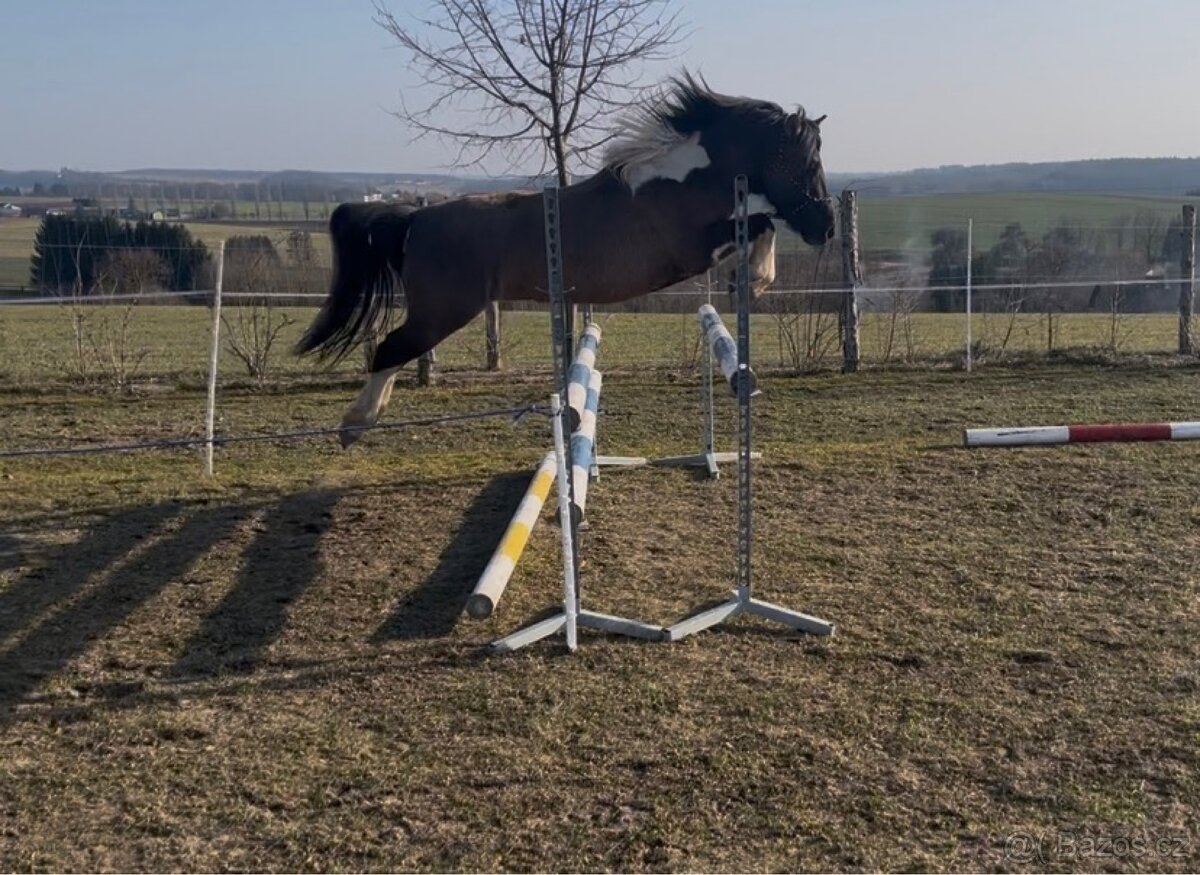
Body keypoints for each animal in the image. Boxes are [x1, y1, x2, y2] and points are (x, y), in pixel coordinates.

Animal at [295, 72, 837, 448]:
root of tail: (414, 219)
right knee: (390, 349)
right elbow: (762, 222)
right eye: (808, 162)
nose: (826, 228)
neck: (680, 181)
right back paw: (354, 425)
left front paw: (747, 281)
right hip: (443, 312)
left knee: (393, 352)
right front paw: (753, 280)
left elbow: (761, 223)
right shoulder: (689, 249)